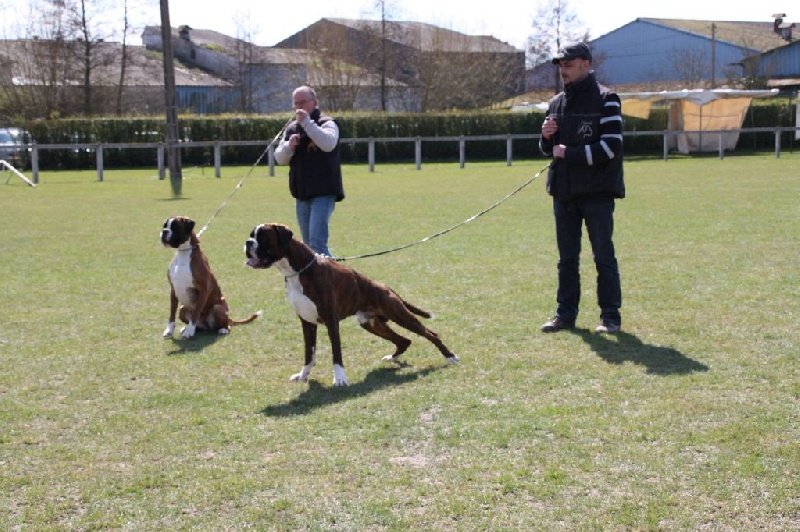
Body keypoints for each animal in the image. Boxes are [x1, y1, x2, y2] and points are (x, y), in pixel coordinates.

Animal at [242, 221, 456, 386]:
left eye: (263, 236)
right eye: (252, 235)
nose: (247, 242)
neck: (298, 271)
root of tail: (385, 286)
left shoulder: (331, 321)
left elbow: (336, 353)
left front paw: (340, 379)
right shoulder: (307, 322)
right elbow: (308, 353)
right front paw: (303, 375)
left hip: (399, 314)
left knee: (430, 334)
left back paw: (450, 357)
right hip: (370, 322)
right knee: (404, 340)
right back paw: (393, 357)